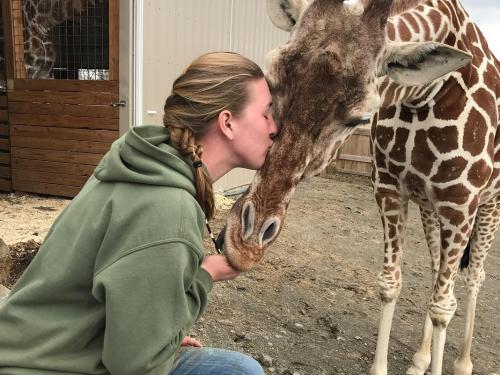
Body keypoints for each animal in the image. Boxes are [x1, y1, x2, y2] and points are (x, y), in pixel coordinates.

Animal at [221, 0, 498, 375]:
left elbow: (443, 306)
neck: (425, 97)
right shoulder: (389, 188)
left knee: (473, 278)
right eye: (269, 79)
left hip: (488, 204)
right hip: (429, 206)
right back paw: (420, 359)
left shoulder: (460, 202)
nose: (244, 245)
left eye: (360, 118)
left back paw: (463, 362)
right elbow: (390, 284)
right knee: (436, 272)